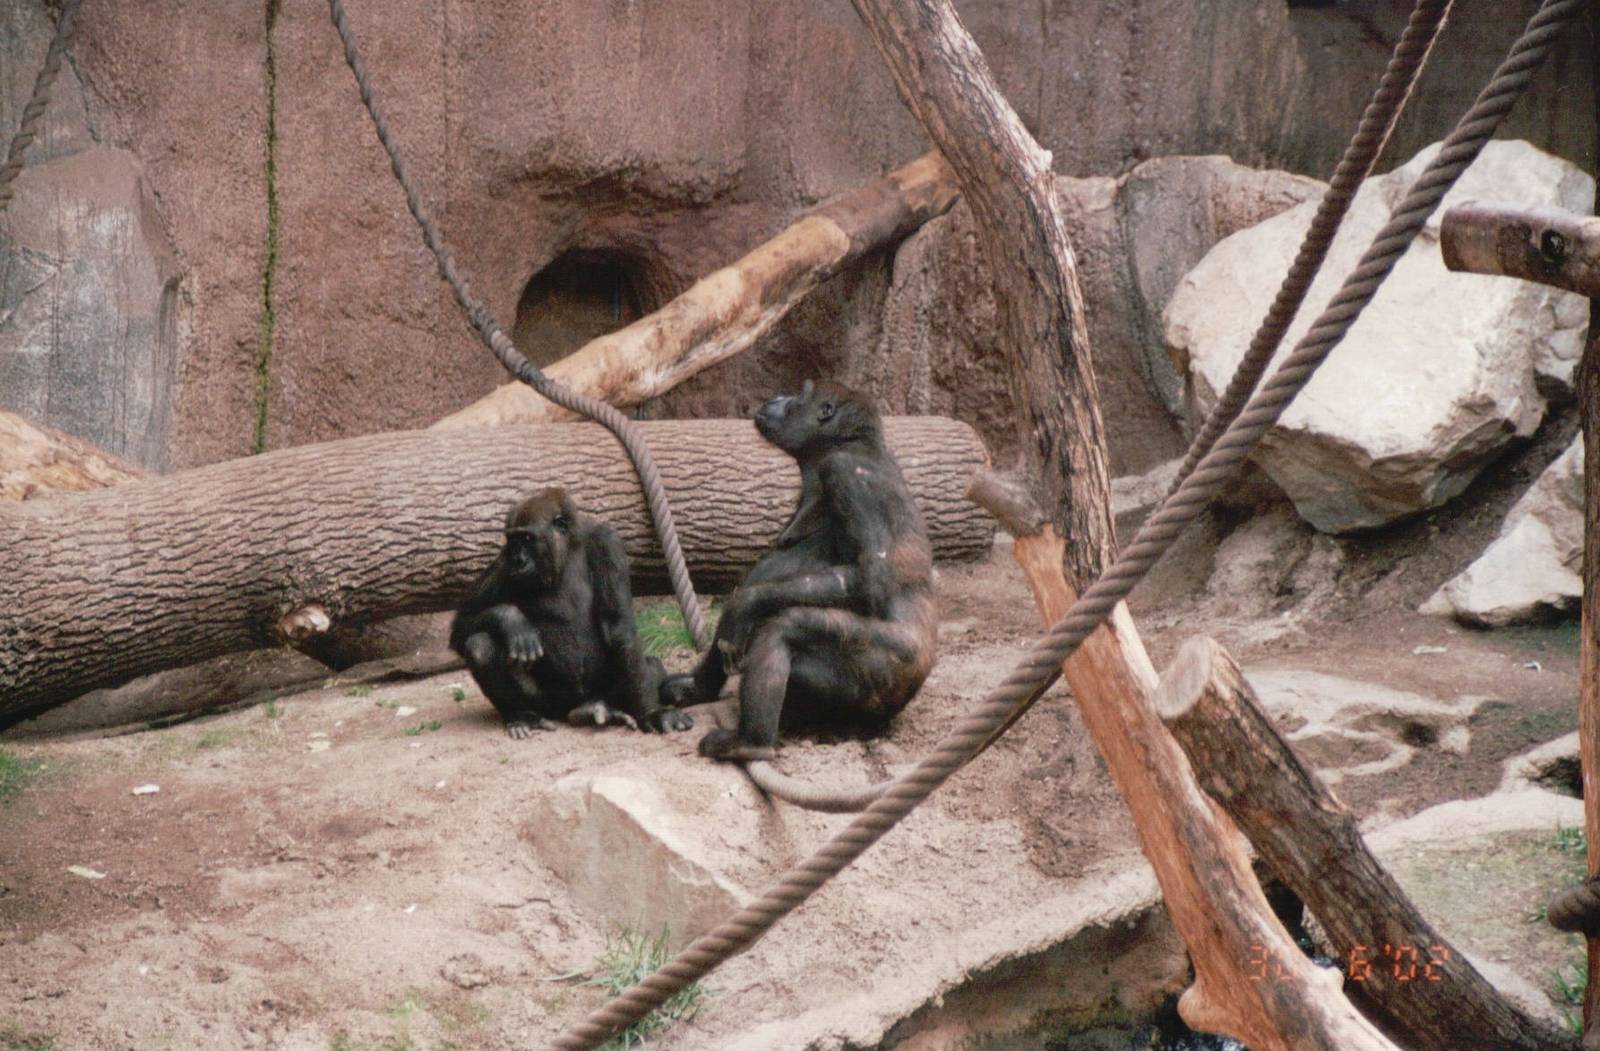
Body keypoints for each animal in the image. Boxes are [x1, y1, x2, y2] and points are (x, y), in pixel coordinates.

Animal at [449, 488, 694, 738]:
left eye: (527, 539)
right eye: (514, 540)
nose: (519, 560)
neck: (567, 549)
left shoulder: (607, 543)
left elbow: (619, 629)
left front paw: (652, 712)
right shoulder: (503, 561)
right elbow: (462, 625)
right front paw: (511, 621)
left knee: (651, 664)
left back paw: (598, 710)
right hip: (549, 705)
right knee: (479, 645)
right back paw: (522, 716)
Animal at [661, 380, 938, 760]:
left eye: (800, 394)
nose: (779, 397)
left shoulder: (845, 473)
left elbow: (869, 581)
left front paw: (742, 604)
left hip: (888, 670)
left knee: (785, 626)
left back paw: (751, 742)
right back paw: (701, 692)